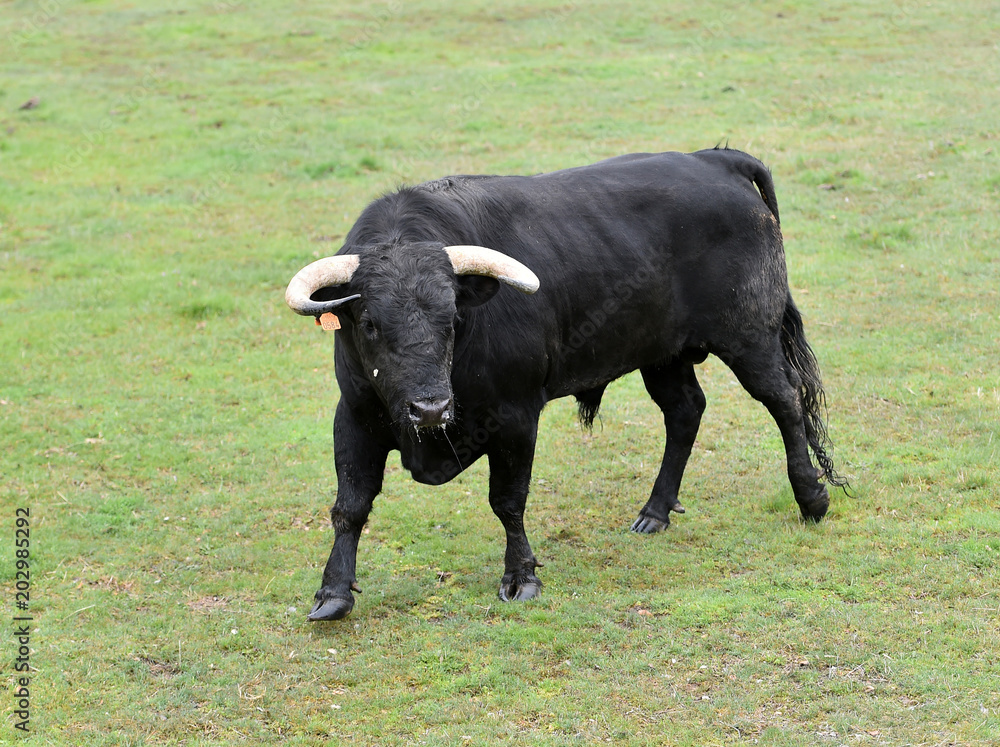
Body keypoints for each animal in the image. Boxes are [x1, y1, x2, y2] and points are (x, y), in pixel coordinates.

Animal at [285, 147, 848, 621]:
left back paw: (811, 498)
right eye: (370, 323)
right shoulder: (356, 414)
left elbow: (508, 501)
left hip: (750, 335)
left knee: (784, 401)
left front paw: (521, 578)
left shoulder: (515, 419)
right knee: (686, 410)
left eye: (452, 318)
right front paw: (333, 592)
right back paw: (654, 512)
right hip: (662, 354)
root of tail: (714, 158)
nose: (429, 409)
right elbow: (350, 505)